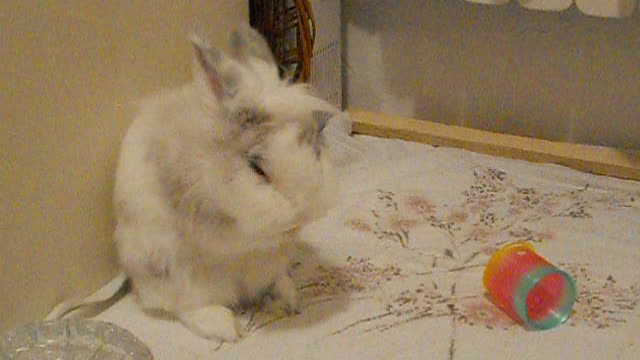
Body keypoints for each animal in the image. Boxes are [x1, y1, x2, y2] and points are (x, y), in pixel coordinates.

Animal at [112, 26, 338, 344]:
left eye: (314, 148)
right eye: (256, 167)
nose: (301, 215)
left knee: (272, 280)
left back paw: (288, 299)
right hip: (168, 271)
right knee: (183, 306)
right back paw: (225, 328)